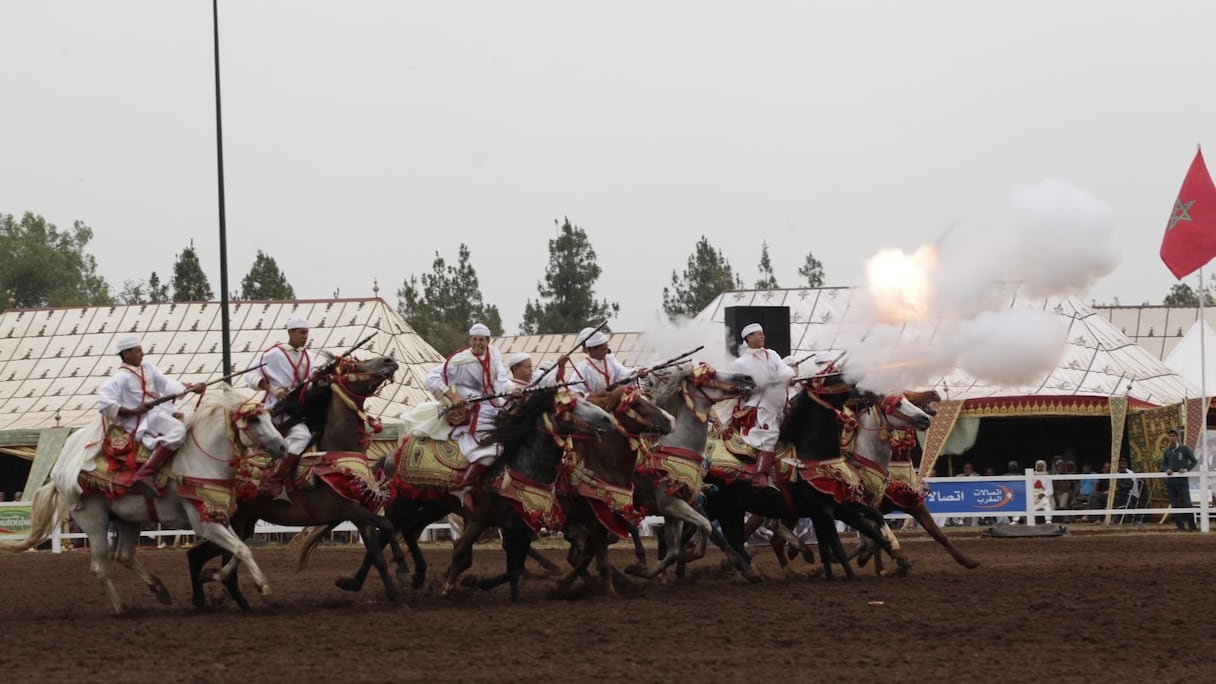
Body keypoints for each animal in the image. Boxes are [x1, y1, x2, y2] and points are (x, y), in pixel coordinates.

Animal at [0, 389, 289, 613]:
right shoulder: (204, 523)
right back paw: (121, 608)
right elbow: (241, 549)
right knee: (100, 566)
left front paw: (214, 575)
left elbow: (240, 548)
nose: (283, 447)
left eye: (268, 416)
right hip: (94, 522)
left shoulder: (217, 514)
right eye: (254, 420)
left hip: (128, 519)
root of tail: (59, 473)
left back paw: (159, 589)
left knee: (125, 556)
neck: (199, 459)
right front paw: (263, 587)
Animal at [184, 352, 401, 608]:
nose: (389, 361)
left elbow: (378, 553)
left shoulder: (361, 514)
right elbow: (387, 526)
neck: (337, 453)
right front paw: (402, 563)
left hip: (242, 525)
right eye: (352, 366)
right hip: (231, 523)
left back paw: (217, 602)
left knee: (200, 557)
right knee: (217, 565)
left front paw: (392, 593)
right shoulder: (348, 510)